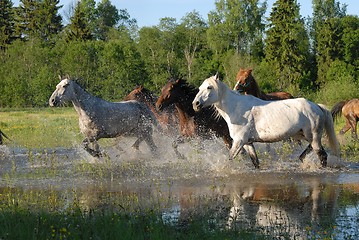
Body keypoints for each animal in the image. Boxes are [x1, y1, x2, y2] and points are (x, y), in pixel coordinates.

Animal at [193, 75, 342, 169]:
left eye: (209, 87)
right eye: (200, 88)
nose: (196, 104)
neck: (236, 108)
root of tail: (317, 106)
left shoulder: (239, 141)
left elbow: (230, 158)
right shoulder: (248, 143)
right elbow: (255, 162)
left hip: (314, 137)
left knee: (322, 155)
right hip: (306, 136)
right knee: (311, 150)